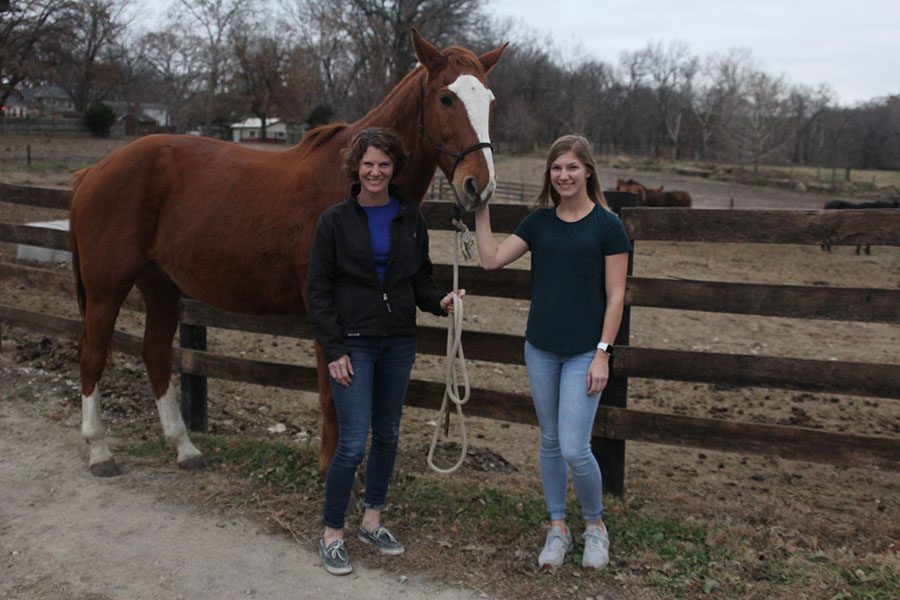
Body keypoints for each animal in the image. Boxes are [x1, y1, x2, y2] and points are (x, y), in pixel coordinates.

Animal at [70, 29, 506, 478]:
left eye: (490, 101)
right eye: (446, 98)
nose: (479, 186)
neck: (350, 182)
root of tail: (94, 172)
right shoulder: (328, 316)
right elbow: (333, 398)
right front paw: (330, 472)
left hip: (159, 285)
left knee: (155, 355)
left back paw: (184, 447)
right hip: (107, 287)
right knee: (92, 355)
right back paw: (100, 451)